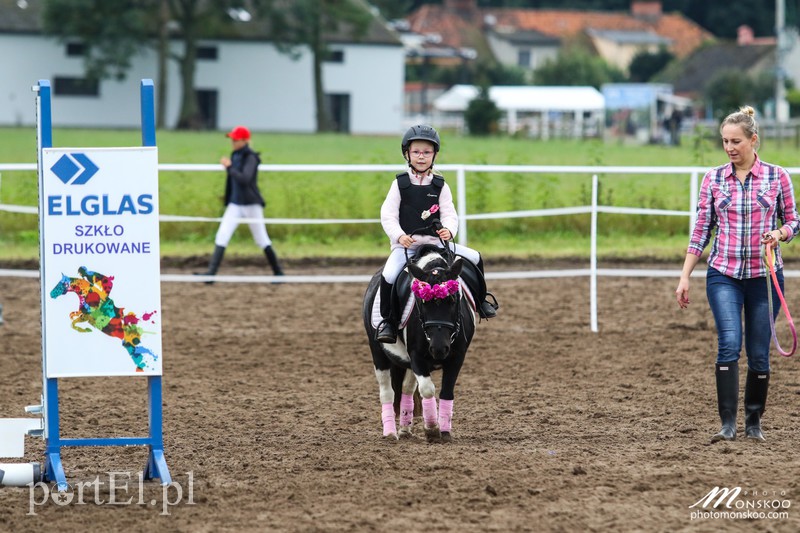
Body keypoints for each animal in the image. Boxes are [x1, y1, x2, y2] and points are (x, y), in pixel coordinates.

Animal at [362, 243, 476, 438]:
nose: (439, 349)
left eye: (453, 299)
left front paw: (444, 431)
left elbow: (447, 392)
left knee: (406, 390)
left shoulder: (457, 357)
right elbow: (427, 389)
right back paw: (390, 433)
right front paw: (432, 428)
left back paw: (405, 429)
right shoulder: (416, 357)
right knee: (387, 392)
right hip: (378, 353)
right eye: (422, 302)